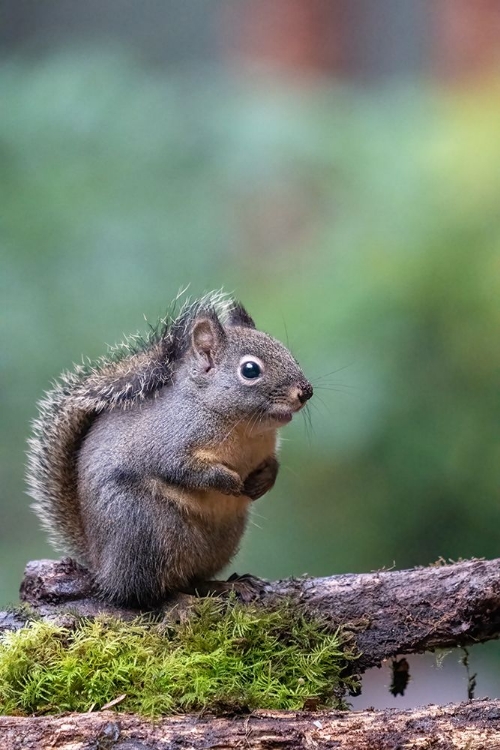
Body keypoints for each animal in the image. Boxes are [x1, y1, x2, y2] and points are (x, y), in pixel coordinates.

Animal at [26, 290, 312, 608]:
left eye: (288, 353)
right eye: (250, 370)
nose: (306, 391)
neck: (241, 426)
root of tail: (103, 568)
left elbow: (272, 464)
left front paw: (263, 482)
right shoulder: (166, 442)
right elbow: (180, 468)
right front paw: (228, 481)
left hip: (221, 538)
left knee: (190, 579)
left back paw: (226, 585)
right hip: (145, 529)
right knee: (143, 591)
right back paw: (181, 602)